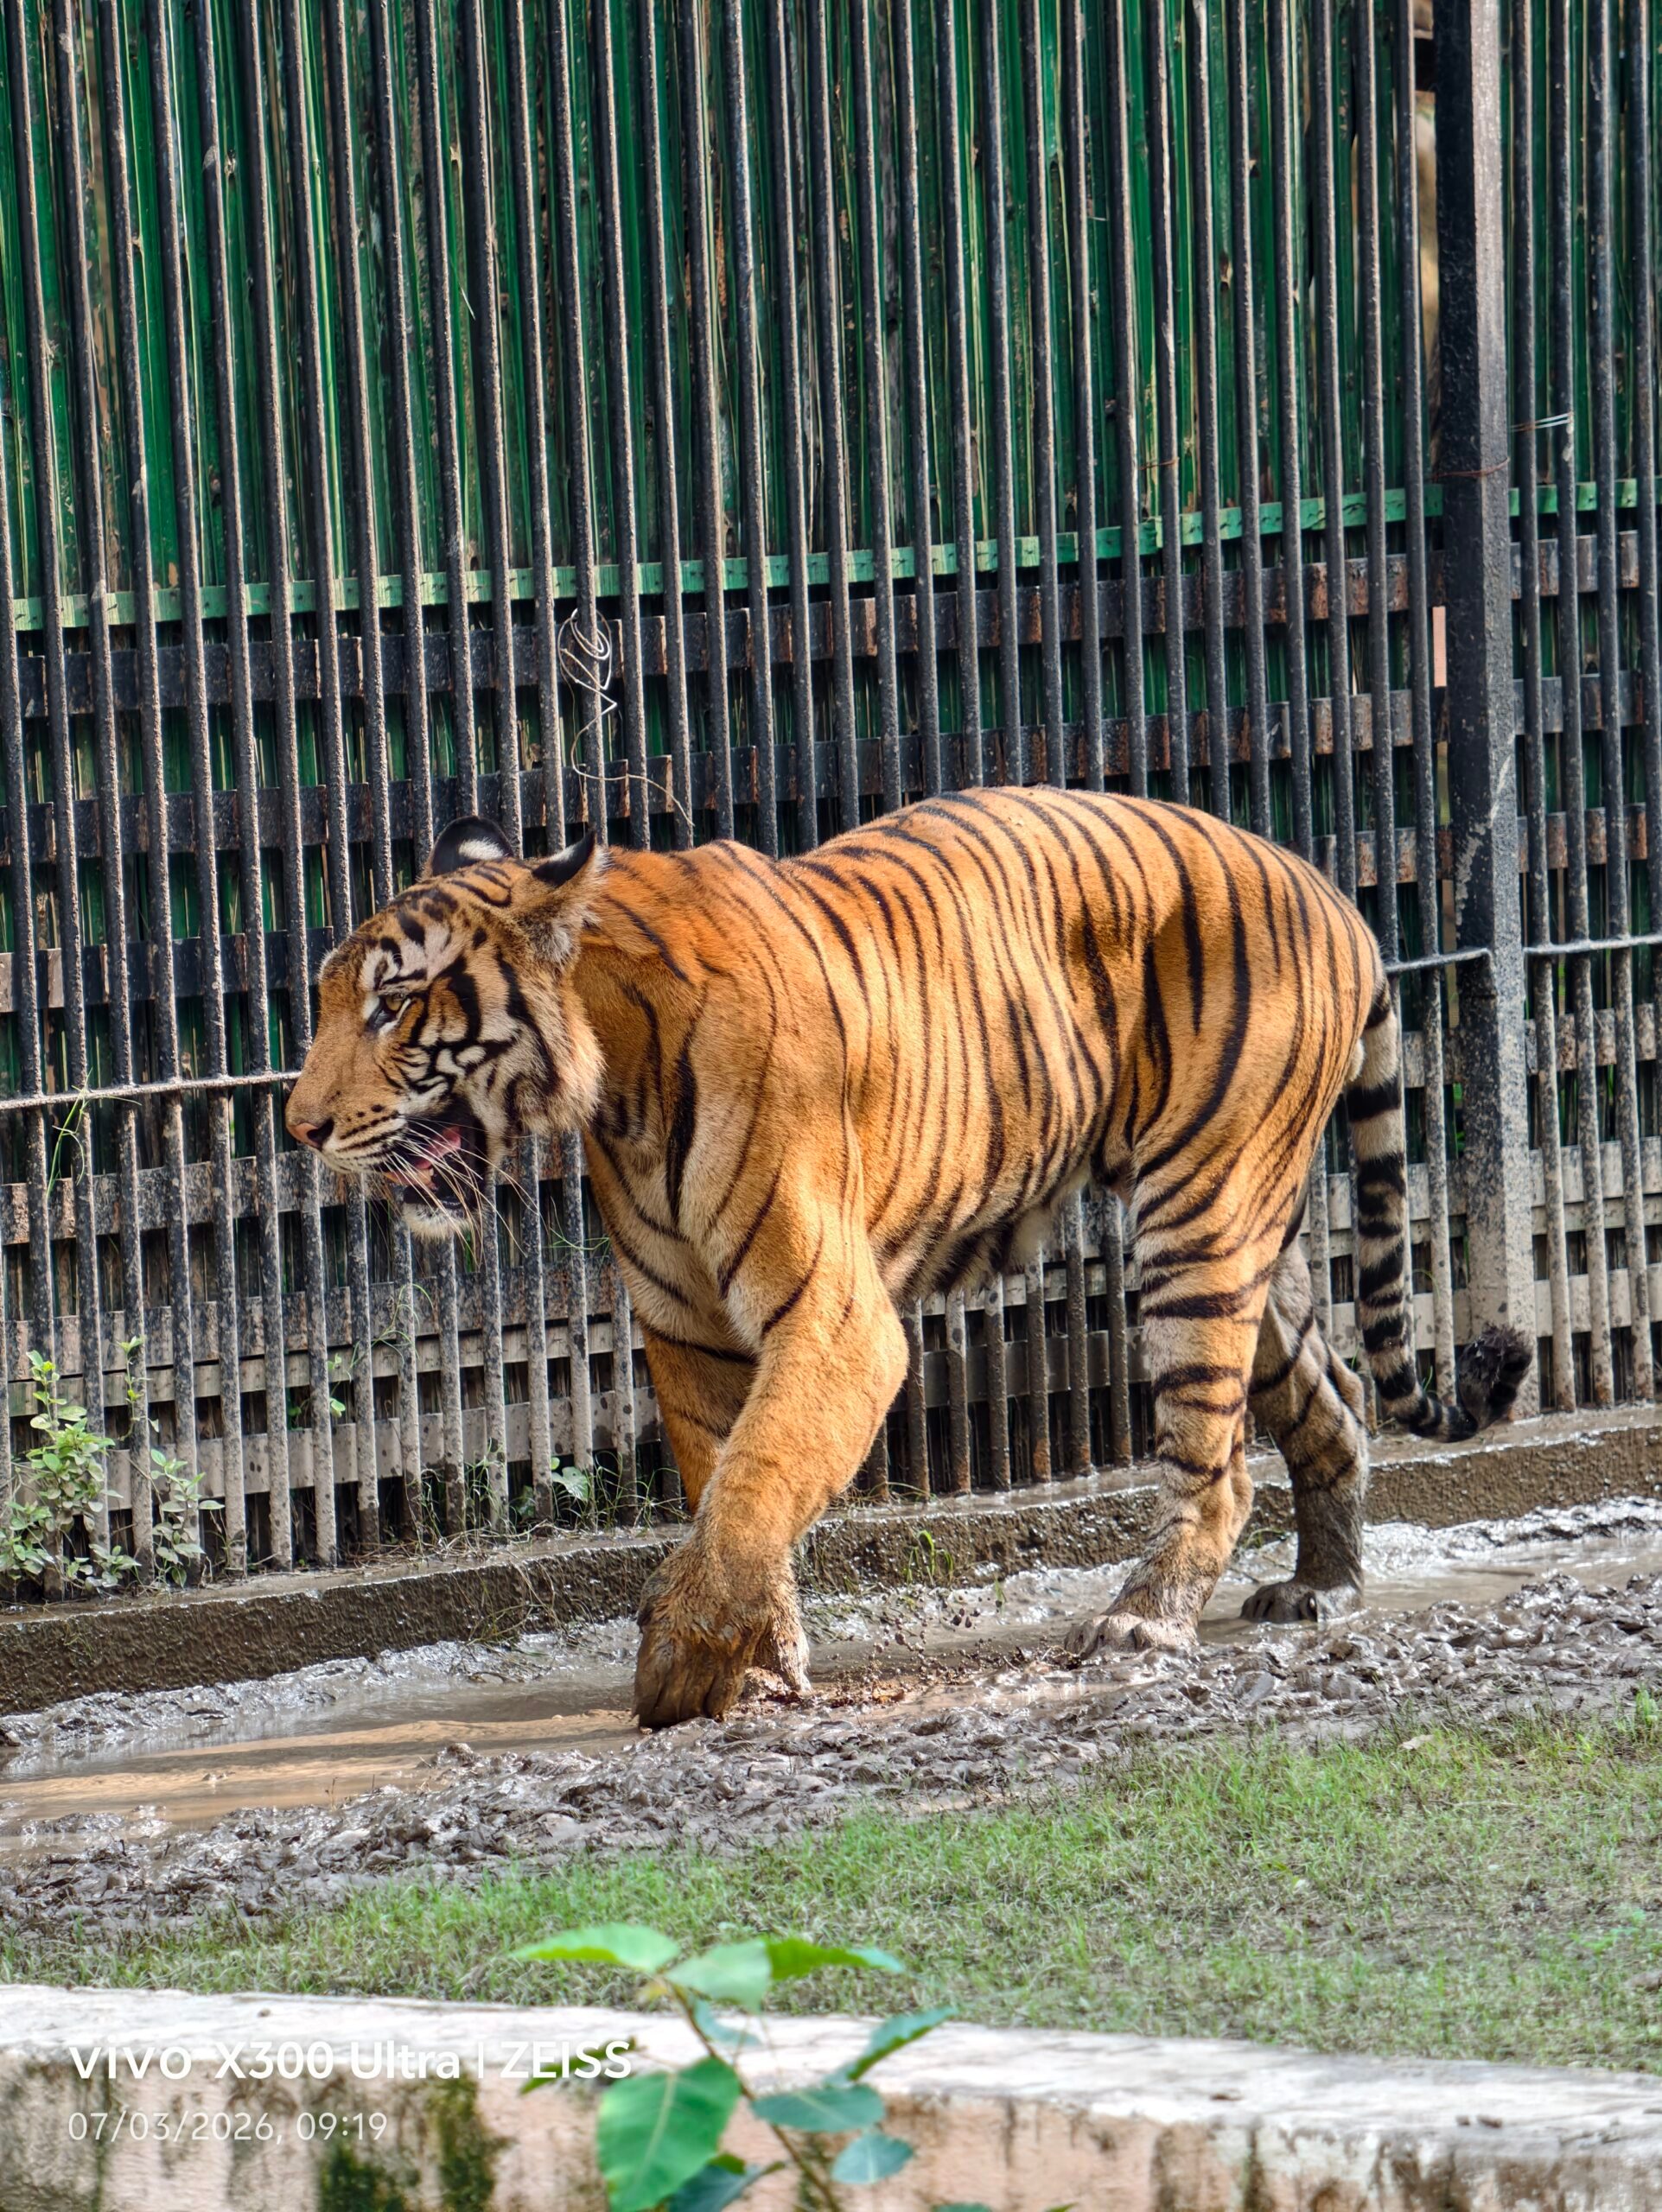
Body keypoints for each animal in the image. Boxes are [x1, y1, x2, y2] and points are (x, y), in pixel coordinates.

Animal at [285, 789, 1532, 1728]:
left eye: (393, 1007)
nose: (298, 1127)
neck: (616, 1081)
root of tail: (1332, 892)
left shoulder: (835, 1319)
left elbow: (753, 1487)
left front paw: (683, 1665)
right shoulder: (689, 1330)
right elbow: (732, 1484)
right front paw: (761, 1659)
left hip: (1202, 1225)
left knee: (1214, 1459)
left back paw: (1144, 1622)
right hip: (1256, 1244)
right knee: (1331, 1402)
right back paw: (1323, 1586)